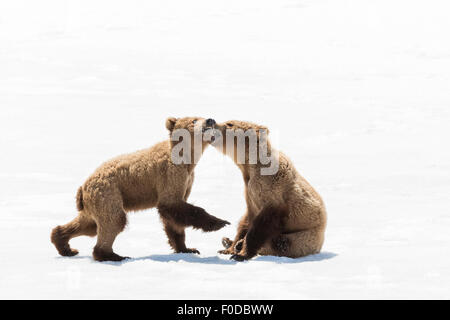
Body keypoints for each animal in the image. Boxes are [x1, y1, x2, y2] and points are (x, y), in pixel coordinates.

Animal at [51, 116, 230, 262]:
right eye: (194, 119)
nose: (210, 120)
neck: (187, 159)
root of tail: (83, 187)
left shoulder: (187, 180)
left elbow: (174, 217)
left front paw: (186, 248)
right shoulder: (170, 174)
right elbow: (173, 205)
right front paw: (220, 222)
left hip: (96, 201)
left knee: (89, 225)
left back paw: (64, 244)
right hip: (109, 193)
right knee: (114, 220)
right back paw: (112, 255)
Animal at [211, 121, 326, 262]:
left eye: (230, 123)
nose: (212, 121)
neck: (250, 167)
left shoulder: (272, 190)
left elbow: (263, 224)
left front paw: (240, 253)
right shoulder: (249, 192)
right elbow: (247, 219)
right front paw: (229, 249)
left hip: (305, 236)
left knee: (281, 243)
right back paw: (228, 241)